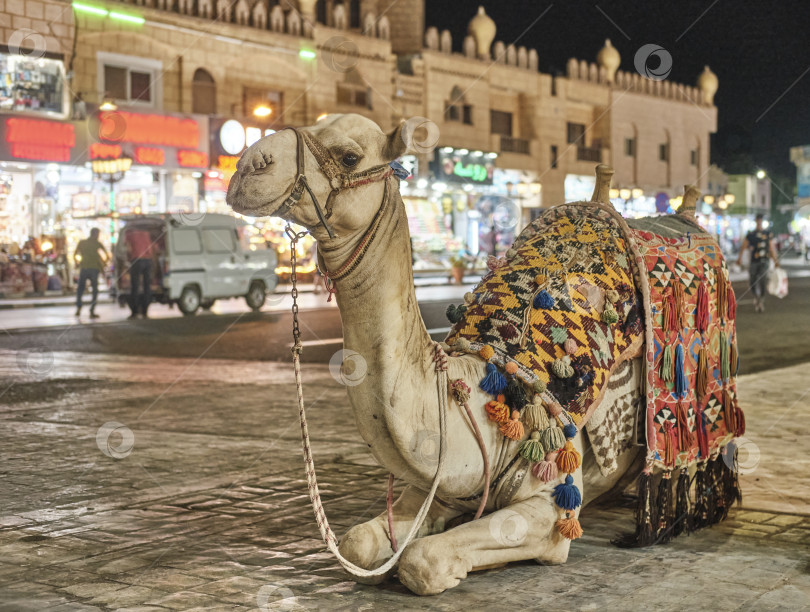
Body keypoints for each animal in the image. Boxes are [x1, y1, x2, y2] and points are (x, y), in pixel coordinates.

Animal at [224, 113, 736, 592]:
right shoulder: (433, 487)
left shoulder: (552, 508)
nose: (248, 165)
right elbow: (359, 544)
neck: (484, 393)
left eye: (349, 156)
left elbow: (423, 560)